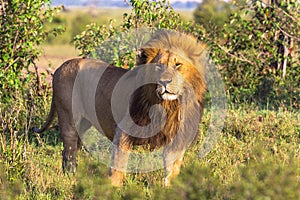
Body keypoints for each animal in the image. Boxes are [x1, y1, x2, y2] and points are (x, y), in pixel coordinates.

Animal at [32, 30, 206, 186]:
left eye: (178, 65)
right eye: (158, 67)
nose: (164, 81)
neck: (169, 106)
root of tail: (60, 67)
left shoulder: (176, 141)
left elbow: (171, 172)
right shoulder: (123, 131)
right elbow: (118, 165)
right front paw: (113, 188)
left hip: (83, 124)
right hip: (68, 117)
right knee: (69, 150)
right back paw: (70, 177)